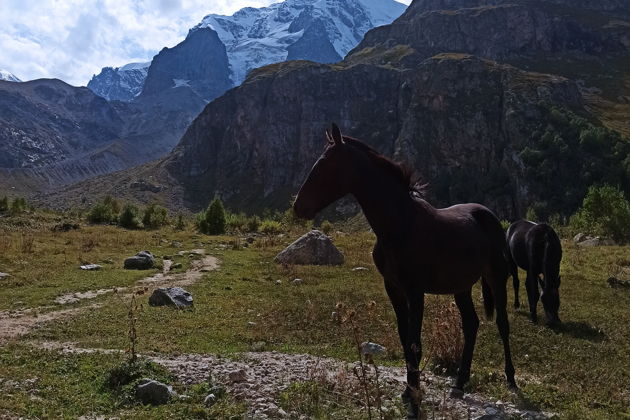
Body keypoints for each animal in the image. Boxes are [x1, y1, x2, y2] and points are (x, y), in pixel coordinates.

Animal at [296, 124, 520, 416]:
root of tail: (488, 216)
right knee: (471, 324)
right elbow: (405, 342)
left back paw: (511, 379)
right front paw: (407, 391)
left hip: (496, 278)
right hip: (461, 287)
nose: (298, 206)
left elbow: (415, 345)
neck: (399, 225)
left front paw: (415, 400)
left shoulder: (416, 291)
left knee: (502, 324)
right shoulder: (394, 288)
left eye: (325, 164)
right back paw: (459, 382)